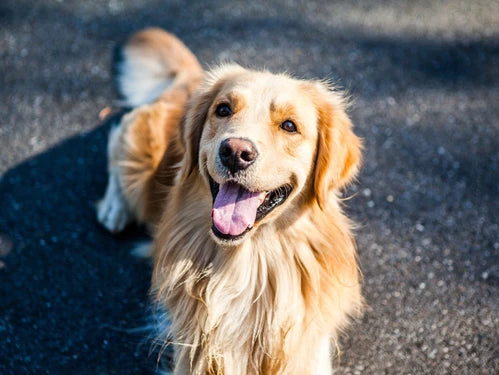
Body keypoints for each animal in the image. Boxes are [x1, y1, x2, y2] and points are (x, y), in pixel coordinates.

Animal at [96, 27, 364, 374]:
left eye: (289, 125)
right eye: (223, 109)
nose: (235, 152)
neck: (249, 262)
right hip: (138, 161)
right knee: (116, 139)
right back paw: (113, 208)